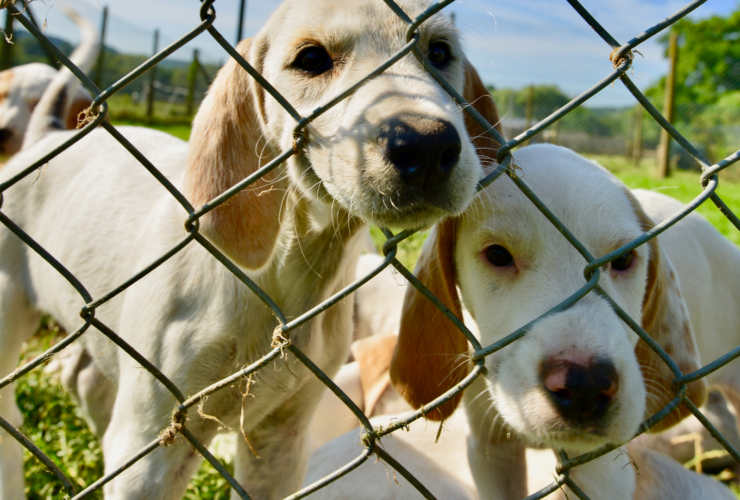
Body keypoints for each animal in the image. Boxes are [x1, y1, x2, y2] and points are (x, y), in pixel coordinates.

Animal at [0, 1, 502, 498]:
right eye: (312, 59)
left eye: (439, 53)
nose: (427, 143)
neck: (288, 279)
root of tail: (48, 136)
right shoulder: (149, 456)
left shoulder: (282, 440)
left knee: (84, 382)